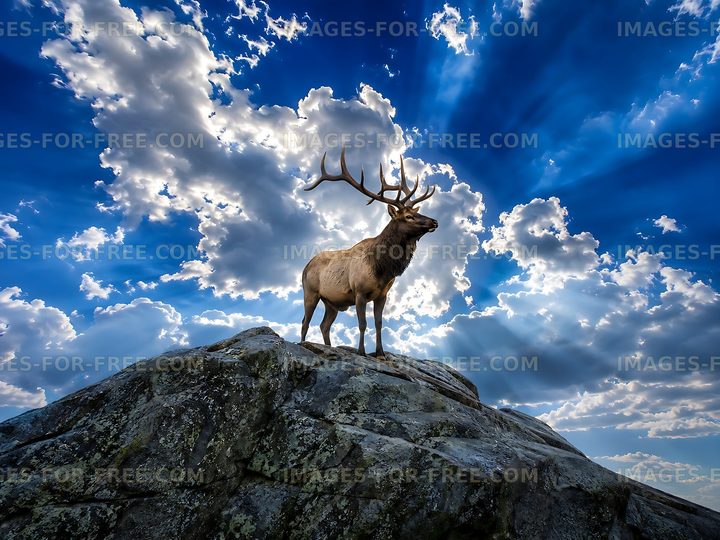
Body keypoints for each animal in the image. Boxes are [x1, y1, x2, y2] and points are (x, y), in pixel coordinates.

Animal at [300, 148, 438, 360]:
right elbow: (362, 324)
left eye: (416, 212)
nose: (434, 221)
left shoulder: (383, 295)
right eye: (408, 216)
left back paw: (329, 348)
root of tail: (305, 267)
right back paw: (302, 344)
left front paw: (380, 352)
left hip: (331, 302)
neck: (382, 269)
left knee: (324, 325)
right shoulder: (359, 291)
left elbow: (379, 324)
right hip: (310, 292)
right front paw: (361, 351)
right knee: (305, 322)